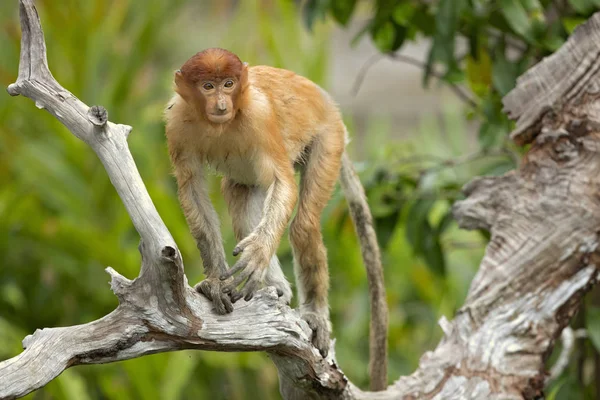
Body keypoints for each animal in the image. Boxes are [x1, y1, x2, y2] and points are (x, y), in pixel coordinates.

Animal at [164, 48, 390, 390]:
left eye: (229, 84)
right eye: (208, 86)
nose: (221, 105)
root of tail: (328, 103)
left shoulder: (260, 117)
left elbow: (282, 182)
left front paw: (256, 255)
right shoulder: (177, 123)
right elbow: (192, 189)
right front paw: (217, 284)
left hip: (329, 138)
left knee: (303, 225)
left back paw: (313, 315)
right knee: (240, 190)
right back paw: (276, 290)